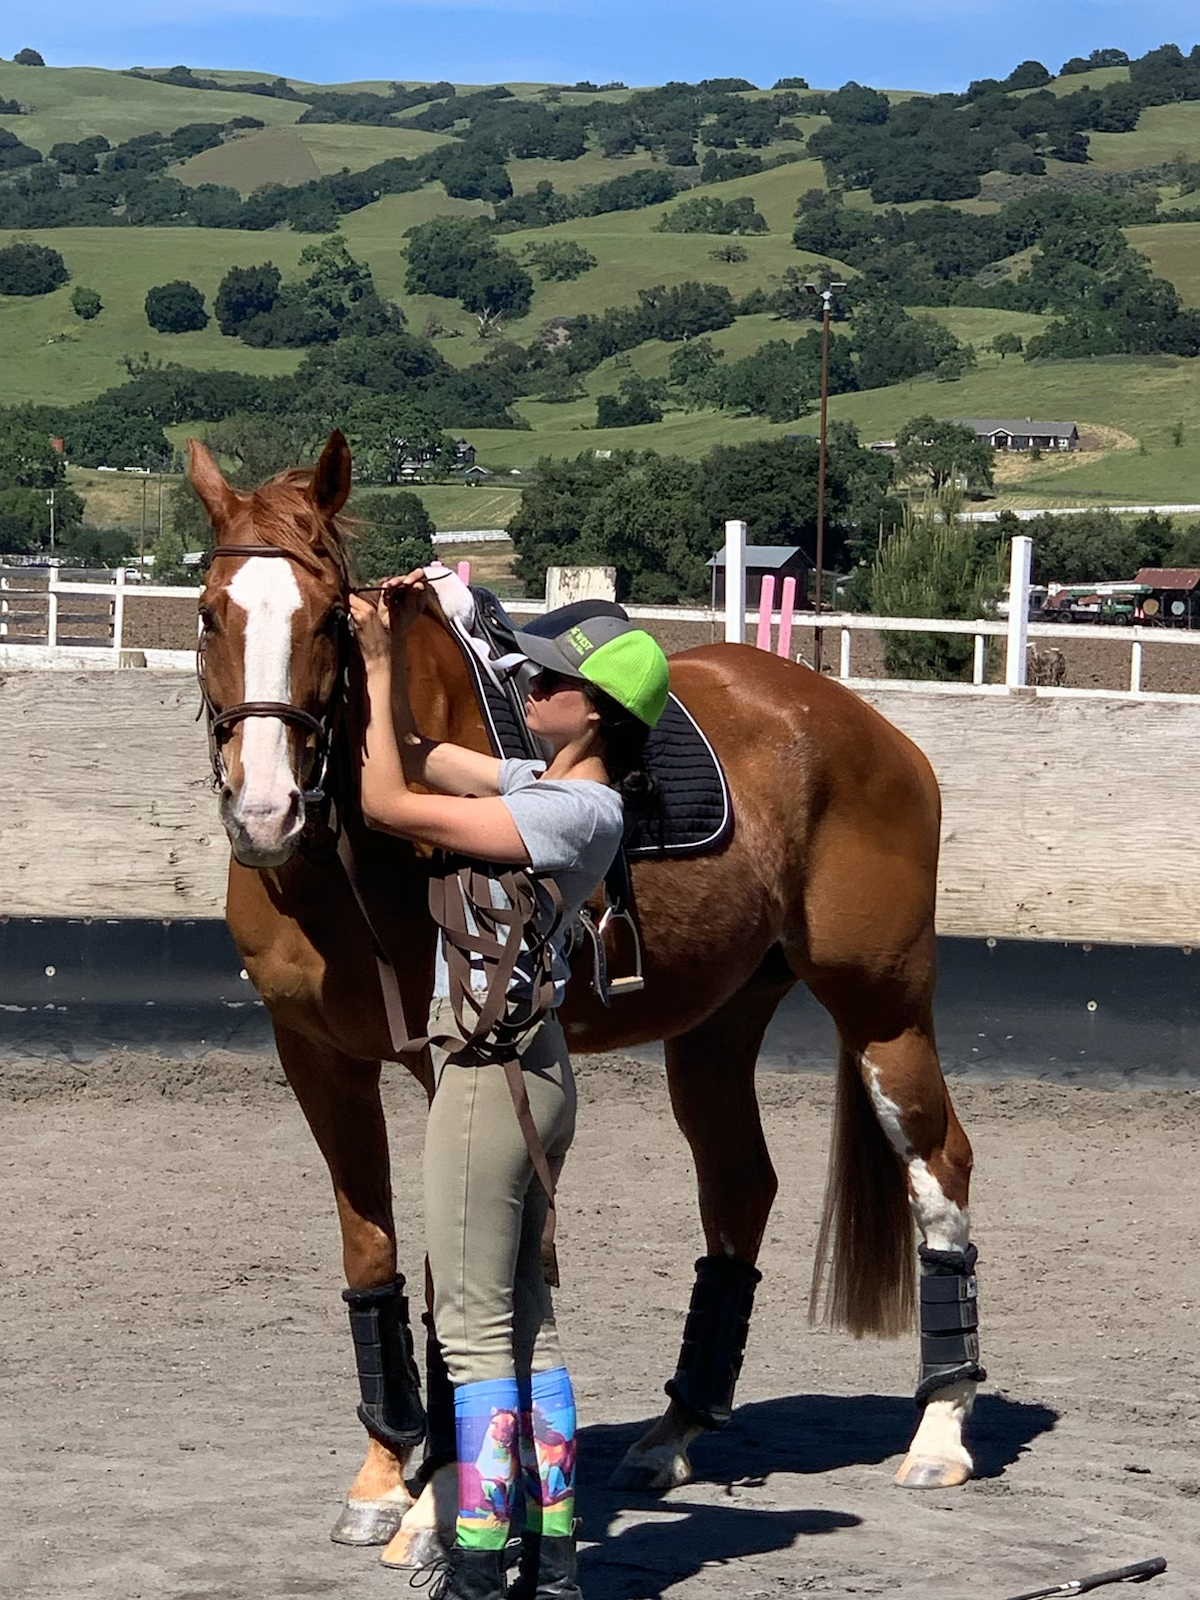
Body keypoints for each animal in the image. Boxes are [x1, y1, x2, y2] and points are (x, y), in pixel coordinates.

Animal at [192, 432, 985, 1568]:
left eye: (329, 618)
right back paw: (677, 1430)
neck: (350, 850)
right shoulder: (316, 1057)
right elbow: (372, 1256)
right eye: (212, 611)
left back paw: (942, 1428)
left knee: (940, 1167)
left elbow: (449, 1267)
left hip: (883, 1010)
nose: (264, 811)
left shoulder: (452, 1060)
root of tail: (862, 726)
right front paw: (386, 1476)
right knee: (740, 1190)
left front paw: (435, 1508)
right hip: (716, 1030)